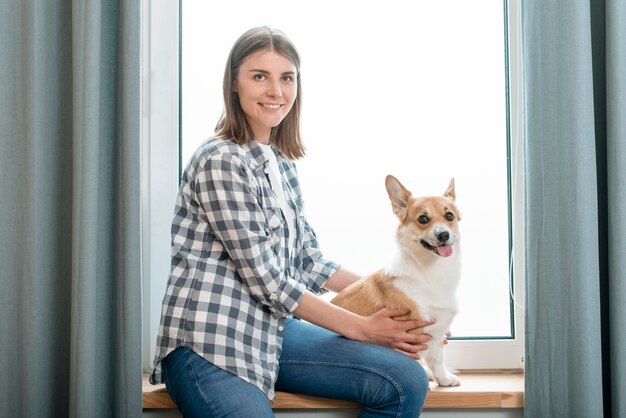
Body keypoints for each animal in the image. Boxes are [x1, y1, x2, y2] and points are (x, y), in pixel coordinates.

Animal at [332, 175, 458, 386]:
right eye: (423, 219)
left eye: (449, 216)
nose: (443, 235)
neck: (430, 272)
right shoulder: (410, 336)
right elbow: (419, 359)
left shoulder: (439, 331)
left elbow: (438, 358)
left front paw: (444, 379)